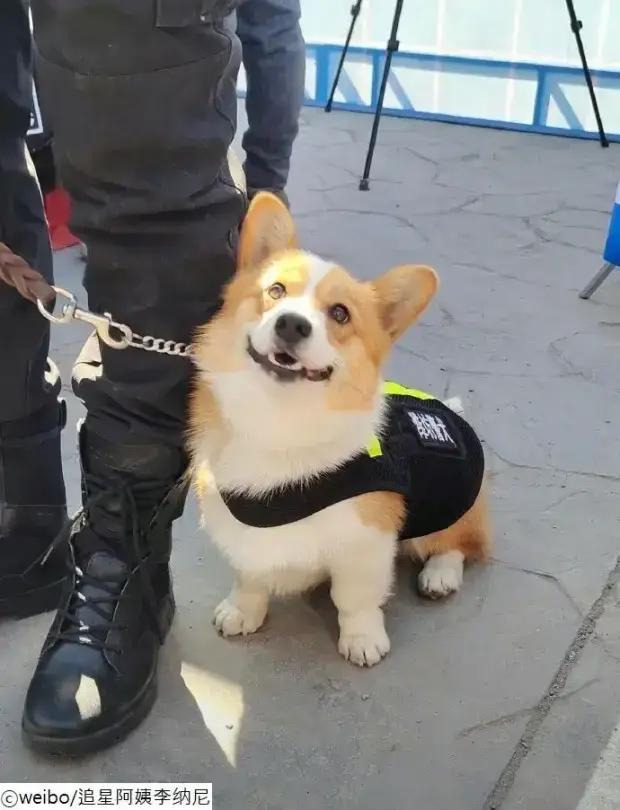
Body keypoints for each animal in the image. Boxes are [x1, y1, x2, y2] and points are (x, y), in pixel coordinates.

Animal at [188, 192, 491, 667]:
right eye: (275, 291)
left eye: (340, 313)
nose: (291, 324)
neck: (280, 421)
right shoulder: (238, 529)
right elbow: (250, 577)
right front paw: (242, 611)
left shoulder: (365, 541)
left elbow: (355, 599)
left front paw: (363, 639)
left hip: (450, 496)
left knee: (463, 542)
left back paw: (441, 573)